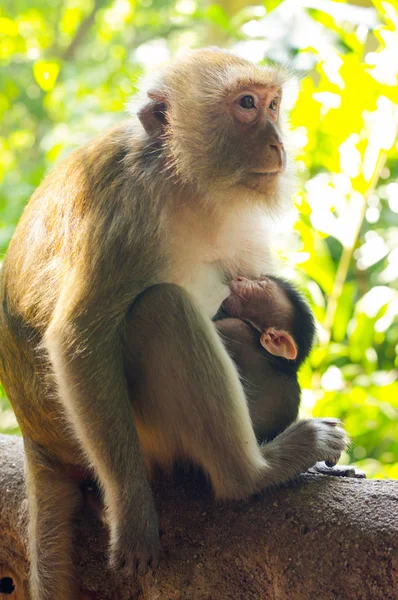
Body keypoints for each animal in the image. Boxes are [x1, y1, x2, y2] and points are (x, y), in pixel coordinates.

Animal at [0, 48, 346, 600]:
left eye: (273, 104)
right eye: (246, 105)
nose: (278, 142)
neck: (184, 184)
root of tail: (39, 439)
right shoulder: (123, 213)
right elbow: (79, 338)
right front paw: (133, 513)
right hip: (138, 438)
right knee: (161, 310)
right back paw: (252, 474)